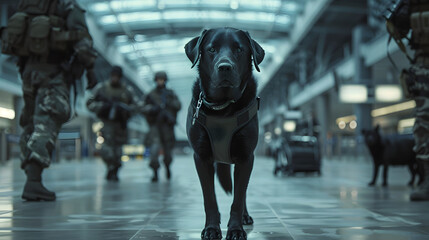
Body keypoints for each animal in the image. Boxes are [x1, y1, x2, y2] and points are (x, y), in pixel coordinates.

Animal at [185, 28, 262, 240]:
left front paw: (235, 229)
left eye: (239, 49)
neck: (223, 107)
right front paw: (211, 229)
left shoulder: (246, 157)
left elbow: (238, 198)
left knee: (242, 193)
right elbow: (209, 199)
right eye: (211, 49)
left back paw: (245, 217)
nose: (225, 67)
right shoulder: (201, 158)